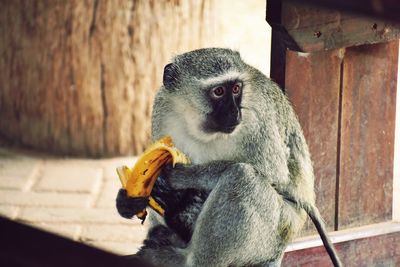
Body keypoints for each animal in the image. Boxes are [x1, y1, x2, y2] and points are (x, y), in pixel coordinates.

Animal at [115, 47, 340, 266]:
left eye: (236, 89)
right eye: (219, 91)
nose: (234, 112)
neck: (199, 124)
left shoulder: (258, 117)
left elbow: (274, 177)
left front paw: (181, 176)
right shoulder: (163, 107)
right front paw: (127, 200)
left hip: (278, 229)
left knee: (242, 177)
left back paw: (184, 257)